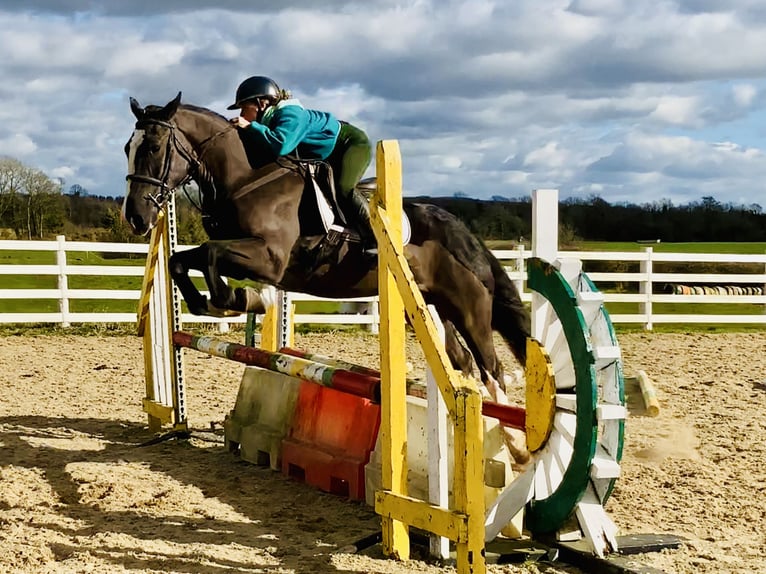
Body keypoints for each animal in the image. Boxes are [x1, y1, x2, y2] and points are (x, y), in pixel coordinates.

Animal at [124, 94, 536, 400]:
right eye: (128, 147)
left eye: (155, 147)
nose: (136, 217)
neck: (246, 179)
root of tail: (460, 230)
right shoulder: (243, 253)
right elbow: (181, 260)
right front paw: (207, 303)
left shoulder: (269, 259)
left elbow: (210, 254)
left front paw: (242, 299)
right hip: (432, 308)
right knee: (463, 363)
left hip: (470, 311)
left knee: (492, 369)